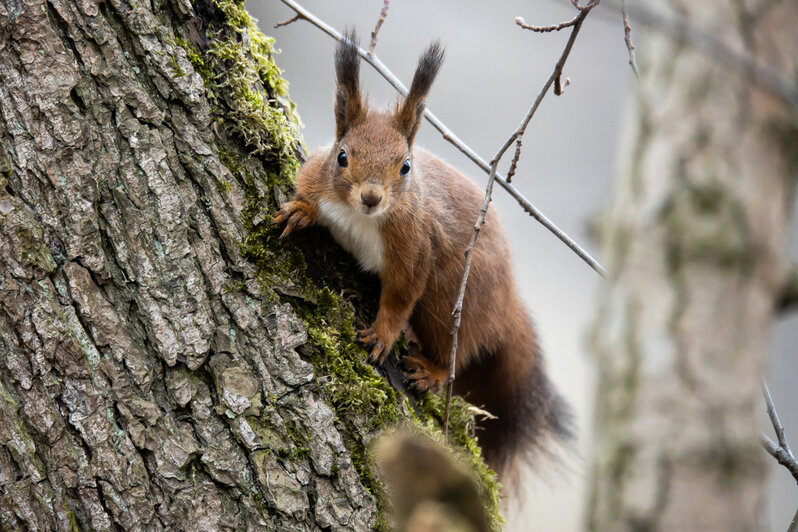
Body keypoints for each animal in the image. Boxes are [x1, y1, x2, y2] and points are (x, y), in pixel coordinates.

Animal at [276, 31, 576, 476]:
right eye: (342, 156)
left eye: (405, 166)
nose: (371, 197)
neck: (360, 218)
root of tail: (507, 300)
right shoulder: (317, 175)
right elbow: (307, 192)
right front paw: (299, 211)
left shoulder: (415, 246)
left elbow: (401, 294)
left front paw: (382, 335)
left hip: (455, 300)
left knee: (457, 346)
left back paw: (432, 370)